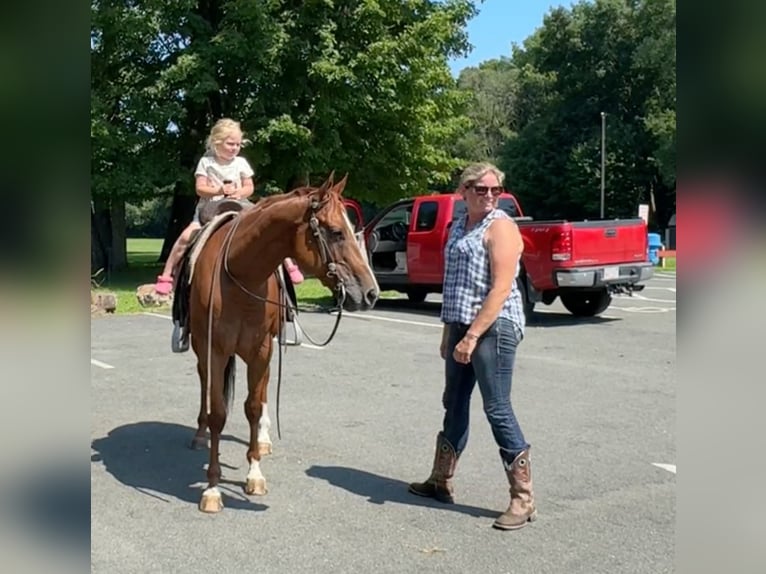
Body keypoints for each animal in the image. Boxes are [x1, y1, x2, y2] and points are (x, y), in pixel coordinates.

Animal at [181, 174, 384, 512]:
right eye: (336, 232)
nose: (371, 293)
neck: (240, 272)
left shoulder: (261, 350)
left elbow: (252, 407)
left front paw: (254, 473)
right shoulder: (215, 350)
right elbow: (218, 413)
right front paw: (212, 488)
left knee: (262, 391)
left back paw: (263, 441)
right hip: (201, 349)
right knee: (203, 385)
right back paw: (199, 434)